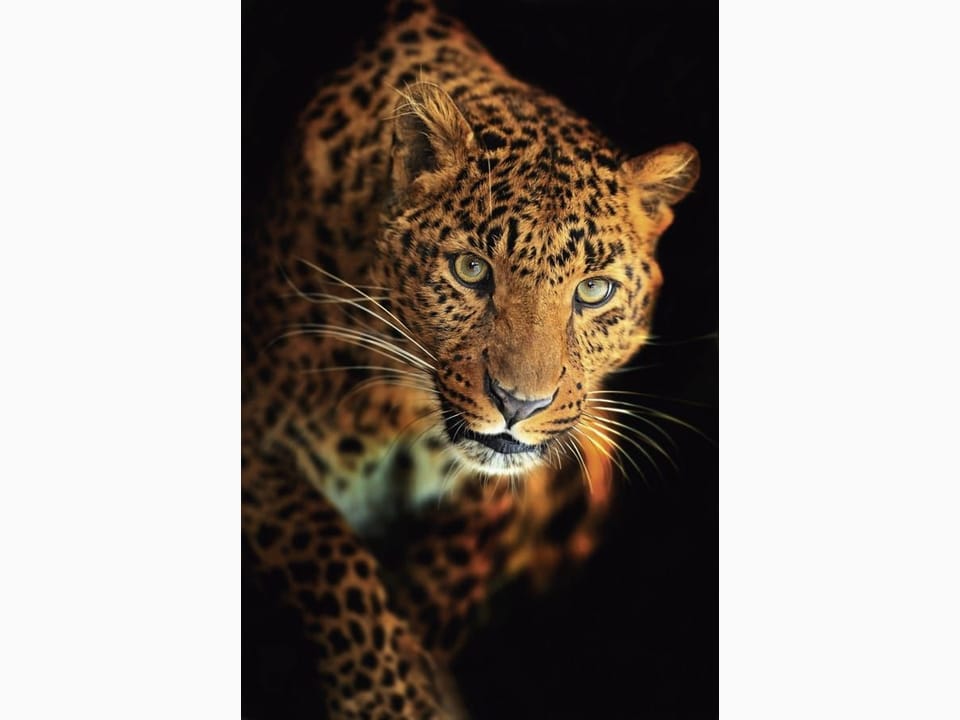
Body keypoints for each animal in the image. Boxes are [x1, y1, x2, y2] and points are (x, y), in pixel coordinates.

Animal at [242, 1, 701, 717]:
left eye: (593, 290)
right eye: (470, 270)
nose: (520, 404)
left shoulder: (504, 493)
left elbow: (445, 573)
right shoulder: (251, 444)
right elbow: (326, 548)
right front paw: (388, 698)